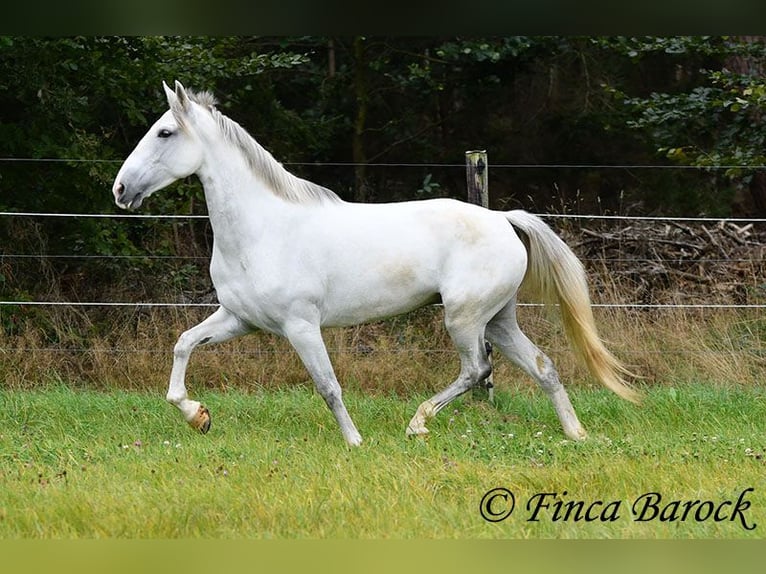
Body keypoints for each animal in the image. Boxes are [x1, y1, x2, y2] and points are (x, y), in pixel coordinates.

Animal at [112, 81, 640, 448]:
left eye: (164, 132)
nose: (120, 189)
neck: (263, 230)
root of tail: (502, 219)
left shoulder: (300, 325)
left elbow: (327, 385)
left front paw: (354, 441)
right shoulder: (240, 319)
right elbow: (183, 344)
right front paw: (196, 415)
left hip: (464, 318)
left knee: (477, 370)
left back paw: (418, 424)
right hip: (498, 318)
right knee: (543, 366)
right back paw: (575, 434)